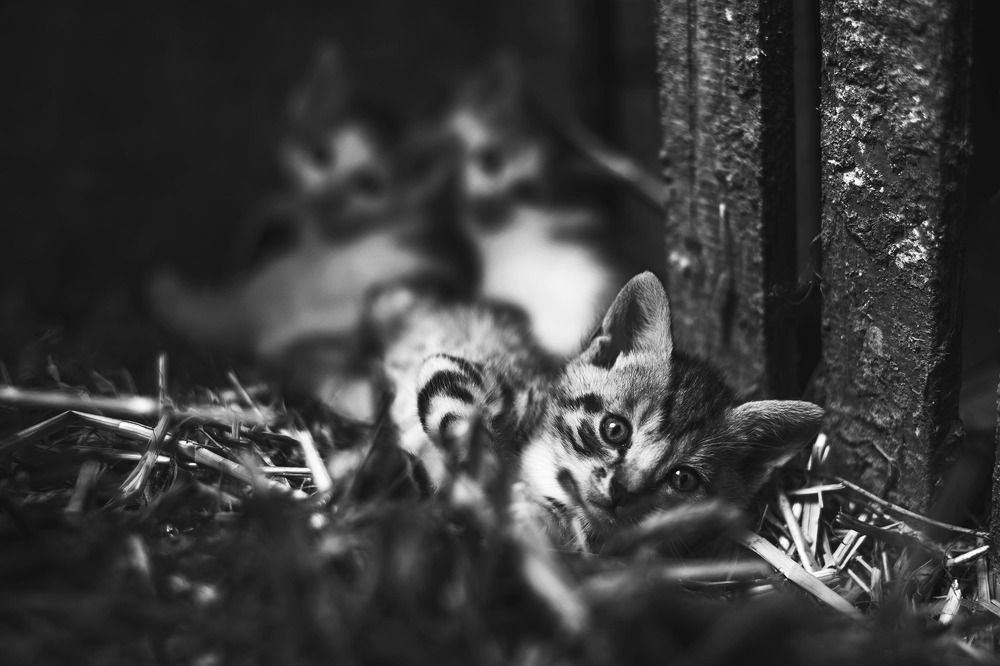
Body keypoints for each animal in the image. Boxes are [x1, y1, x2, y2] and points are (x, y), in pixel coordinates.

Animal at [372, 272, 823, 548]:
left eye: (683, 479)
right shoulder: (469, 371)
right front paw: (481, 471)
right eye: (614, 429)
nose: (621, 490)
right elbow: (450, 405)